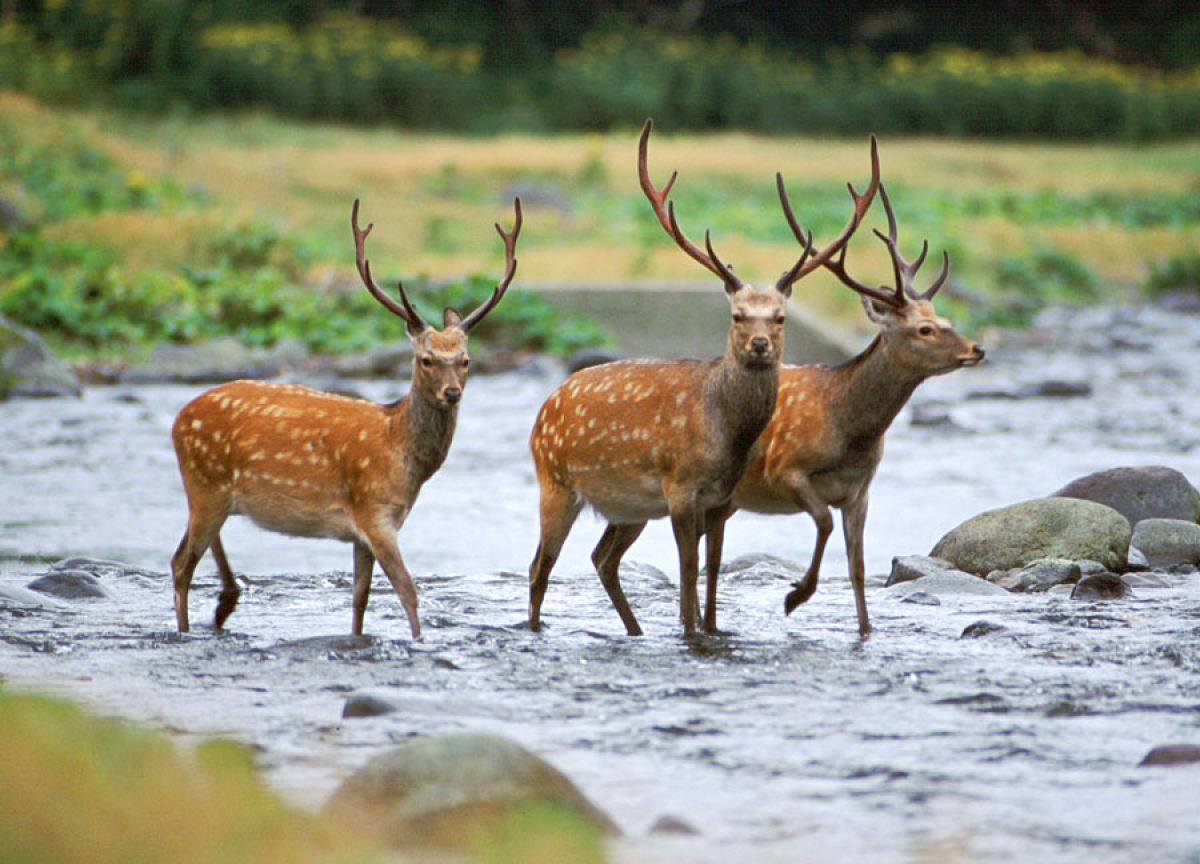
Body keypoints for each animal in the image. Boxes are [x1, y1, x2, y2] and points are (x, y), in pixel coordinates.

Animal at [169, 197, 523, 639]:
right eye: (425, 360)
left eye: (466, 360)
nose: (452, 393)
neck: (402, 454)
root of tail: (178, 419)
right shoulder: (375, 513)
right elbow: (408, 591)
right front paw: (420, 640)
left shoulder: (363, 531)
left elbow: (360, 599)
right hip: (204, 487)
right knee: (181, 564)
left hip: (214, 494)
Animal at [526, 119, 880, 637]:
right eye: (737, 315)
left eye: (780, 317)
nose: (760, 345)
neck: (725, 435)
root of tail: (545, 407)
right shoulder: (679, 489)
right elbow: (688, 572)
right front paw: (691, 632)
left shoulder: (718, 497)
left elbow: (707, 571)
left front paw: (708, 628)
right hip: (555, 482)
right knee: (540, 567)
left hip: (629, 507)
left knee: (601, 559)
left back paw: (634, 630)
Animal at [702, 183, 985, 637]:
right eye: (924, 329)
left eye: (944, 317)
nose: (977, 349)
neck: (849, 432)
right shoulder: (786, 469)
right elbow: (824, 523)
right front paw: (796, 595)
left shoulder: (860, 492)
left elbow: (857, 567)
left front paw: (866, 630)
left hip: (728, 498)